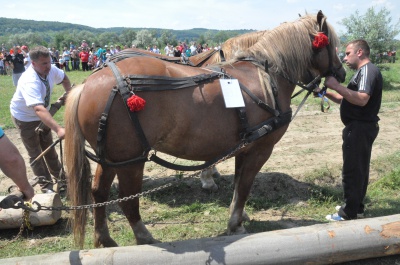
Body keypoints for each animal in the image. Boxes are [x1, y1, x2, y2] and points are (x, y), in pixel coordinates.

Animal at [65, 10, 344, 248]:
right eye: (331, 44)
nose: (341, 73)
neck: (268, 77)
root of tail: (89, 82)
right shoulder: (259, 149)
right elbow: (244, 186)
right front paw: (235, 224)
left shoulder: (243, 148)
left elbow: (238, 186)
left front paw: (238, 216)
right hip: (130, 160)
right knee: (128, 198)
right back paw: (144, 237)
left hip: (111, 158)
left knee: (99, 192)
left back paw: (104, 239)